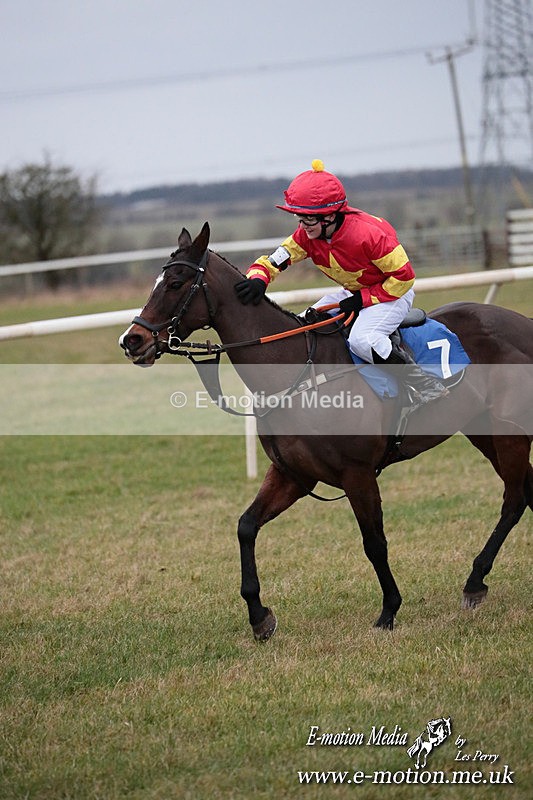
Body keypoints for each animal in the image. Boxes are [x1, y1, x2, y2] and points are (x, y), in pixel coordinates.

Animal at [119, 222, 533, 641]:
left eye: (176, 283)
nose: (132, 340)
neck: (298, 373)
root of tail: (522, 323)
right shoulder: (293, 475)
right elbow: (246, 526)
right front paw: (259, 615)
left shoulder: (358, 473)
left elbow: (374, 543)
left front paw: (388, 610)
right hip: (483, 432)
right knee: (522, 493)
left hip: (510, 433)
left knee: (514, 499)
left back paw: (474, 581)